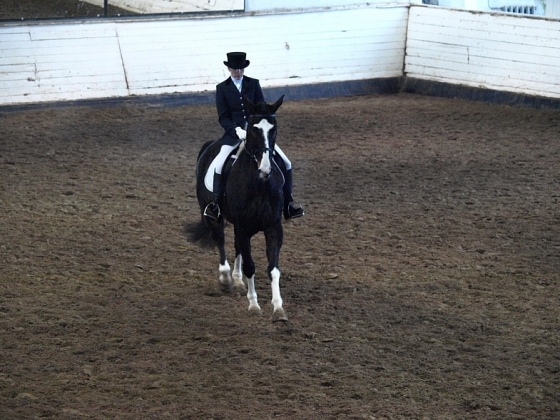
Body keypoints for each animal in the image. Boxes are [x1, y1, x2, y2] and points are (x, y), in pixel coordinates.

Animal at [188, 95, 288, 324]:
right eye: (253, 129)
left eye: (274, 128)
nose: (265, 169)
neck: (259, 183)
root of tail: (209, 145)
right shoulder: (243, 227)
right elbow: (251, 266)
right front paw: (254, 305)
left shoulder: (273, 227)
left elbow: (273, 268)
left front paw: (278, 309)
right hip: (213, 216)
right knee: (220, 241)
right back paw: (226, 279)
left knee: (236, 246)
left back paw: (237, 279)